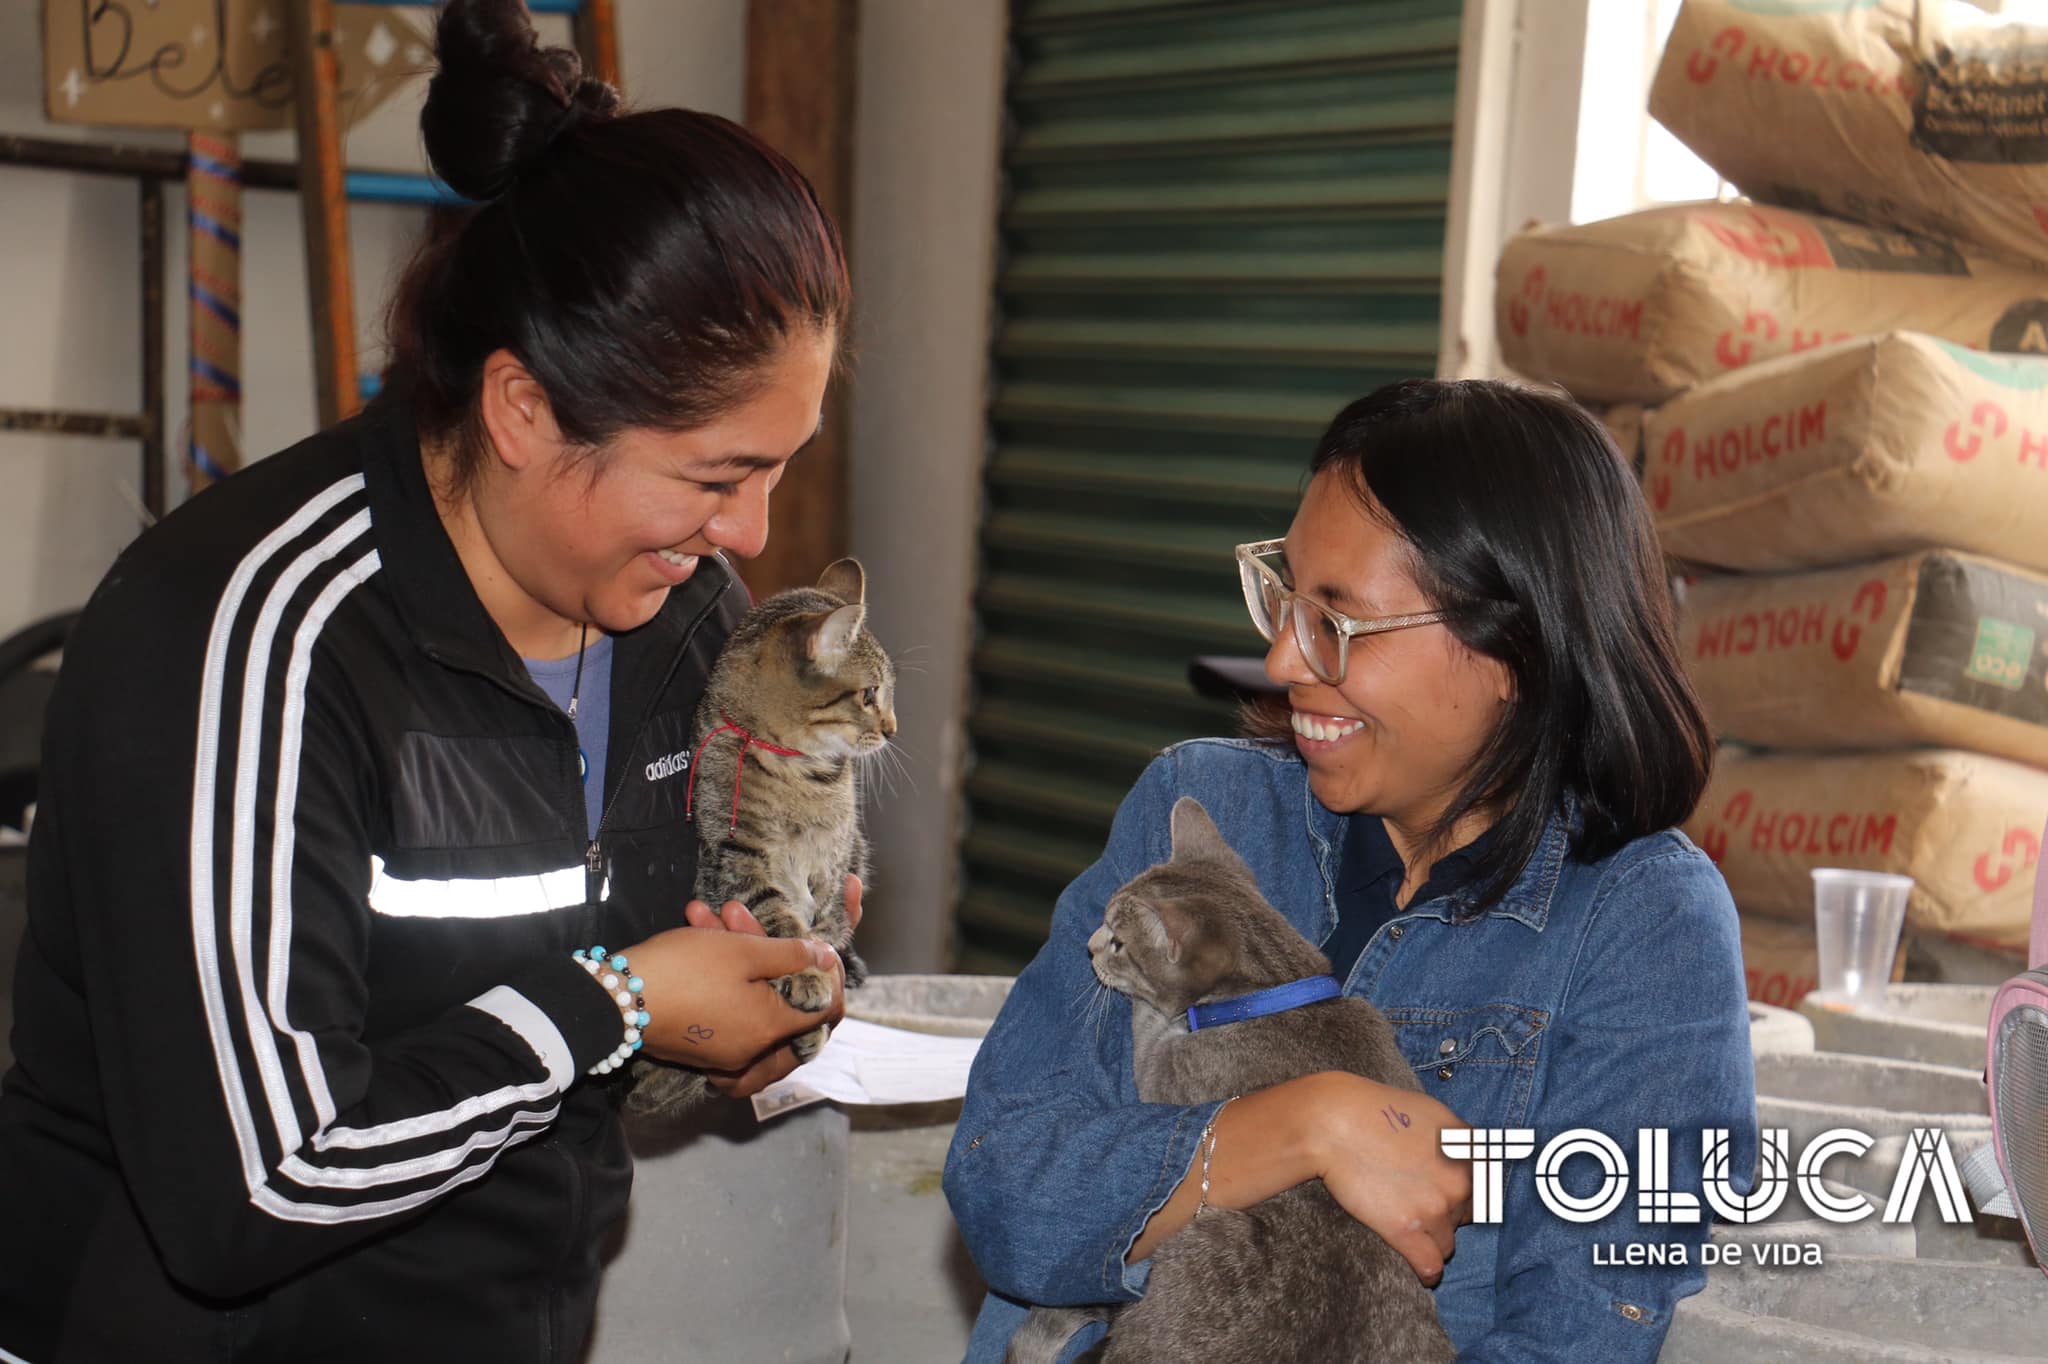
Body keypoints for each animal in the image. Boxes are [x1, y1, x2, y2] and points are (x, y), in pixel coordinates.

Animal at [614, 557, 888, 1114]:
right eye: (870, 693)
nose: (892, 727)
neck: (804, 772)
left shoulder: (837, 861)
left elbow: (824, 929)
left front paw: (817, 986)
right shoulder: (736, 853)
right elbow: (781, 921)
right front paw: (805, 973)